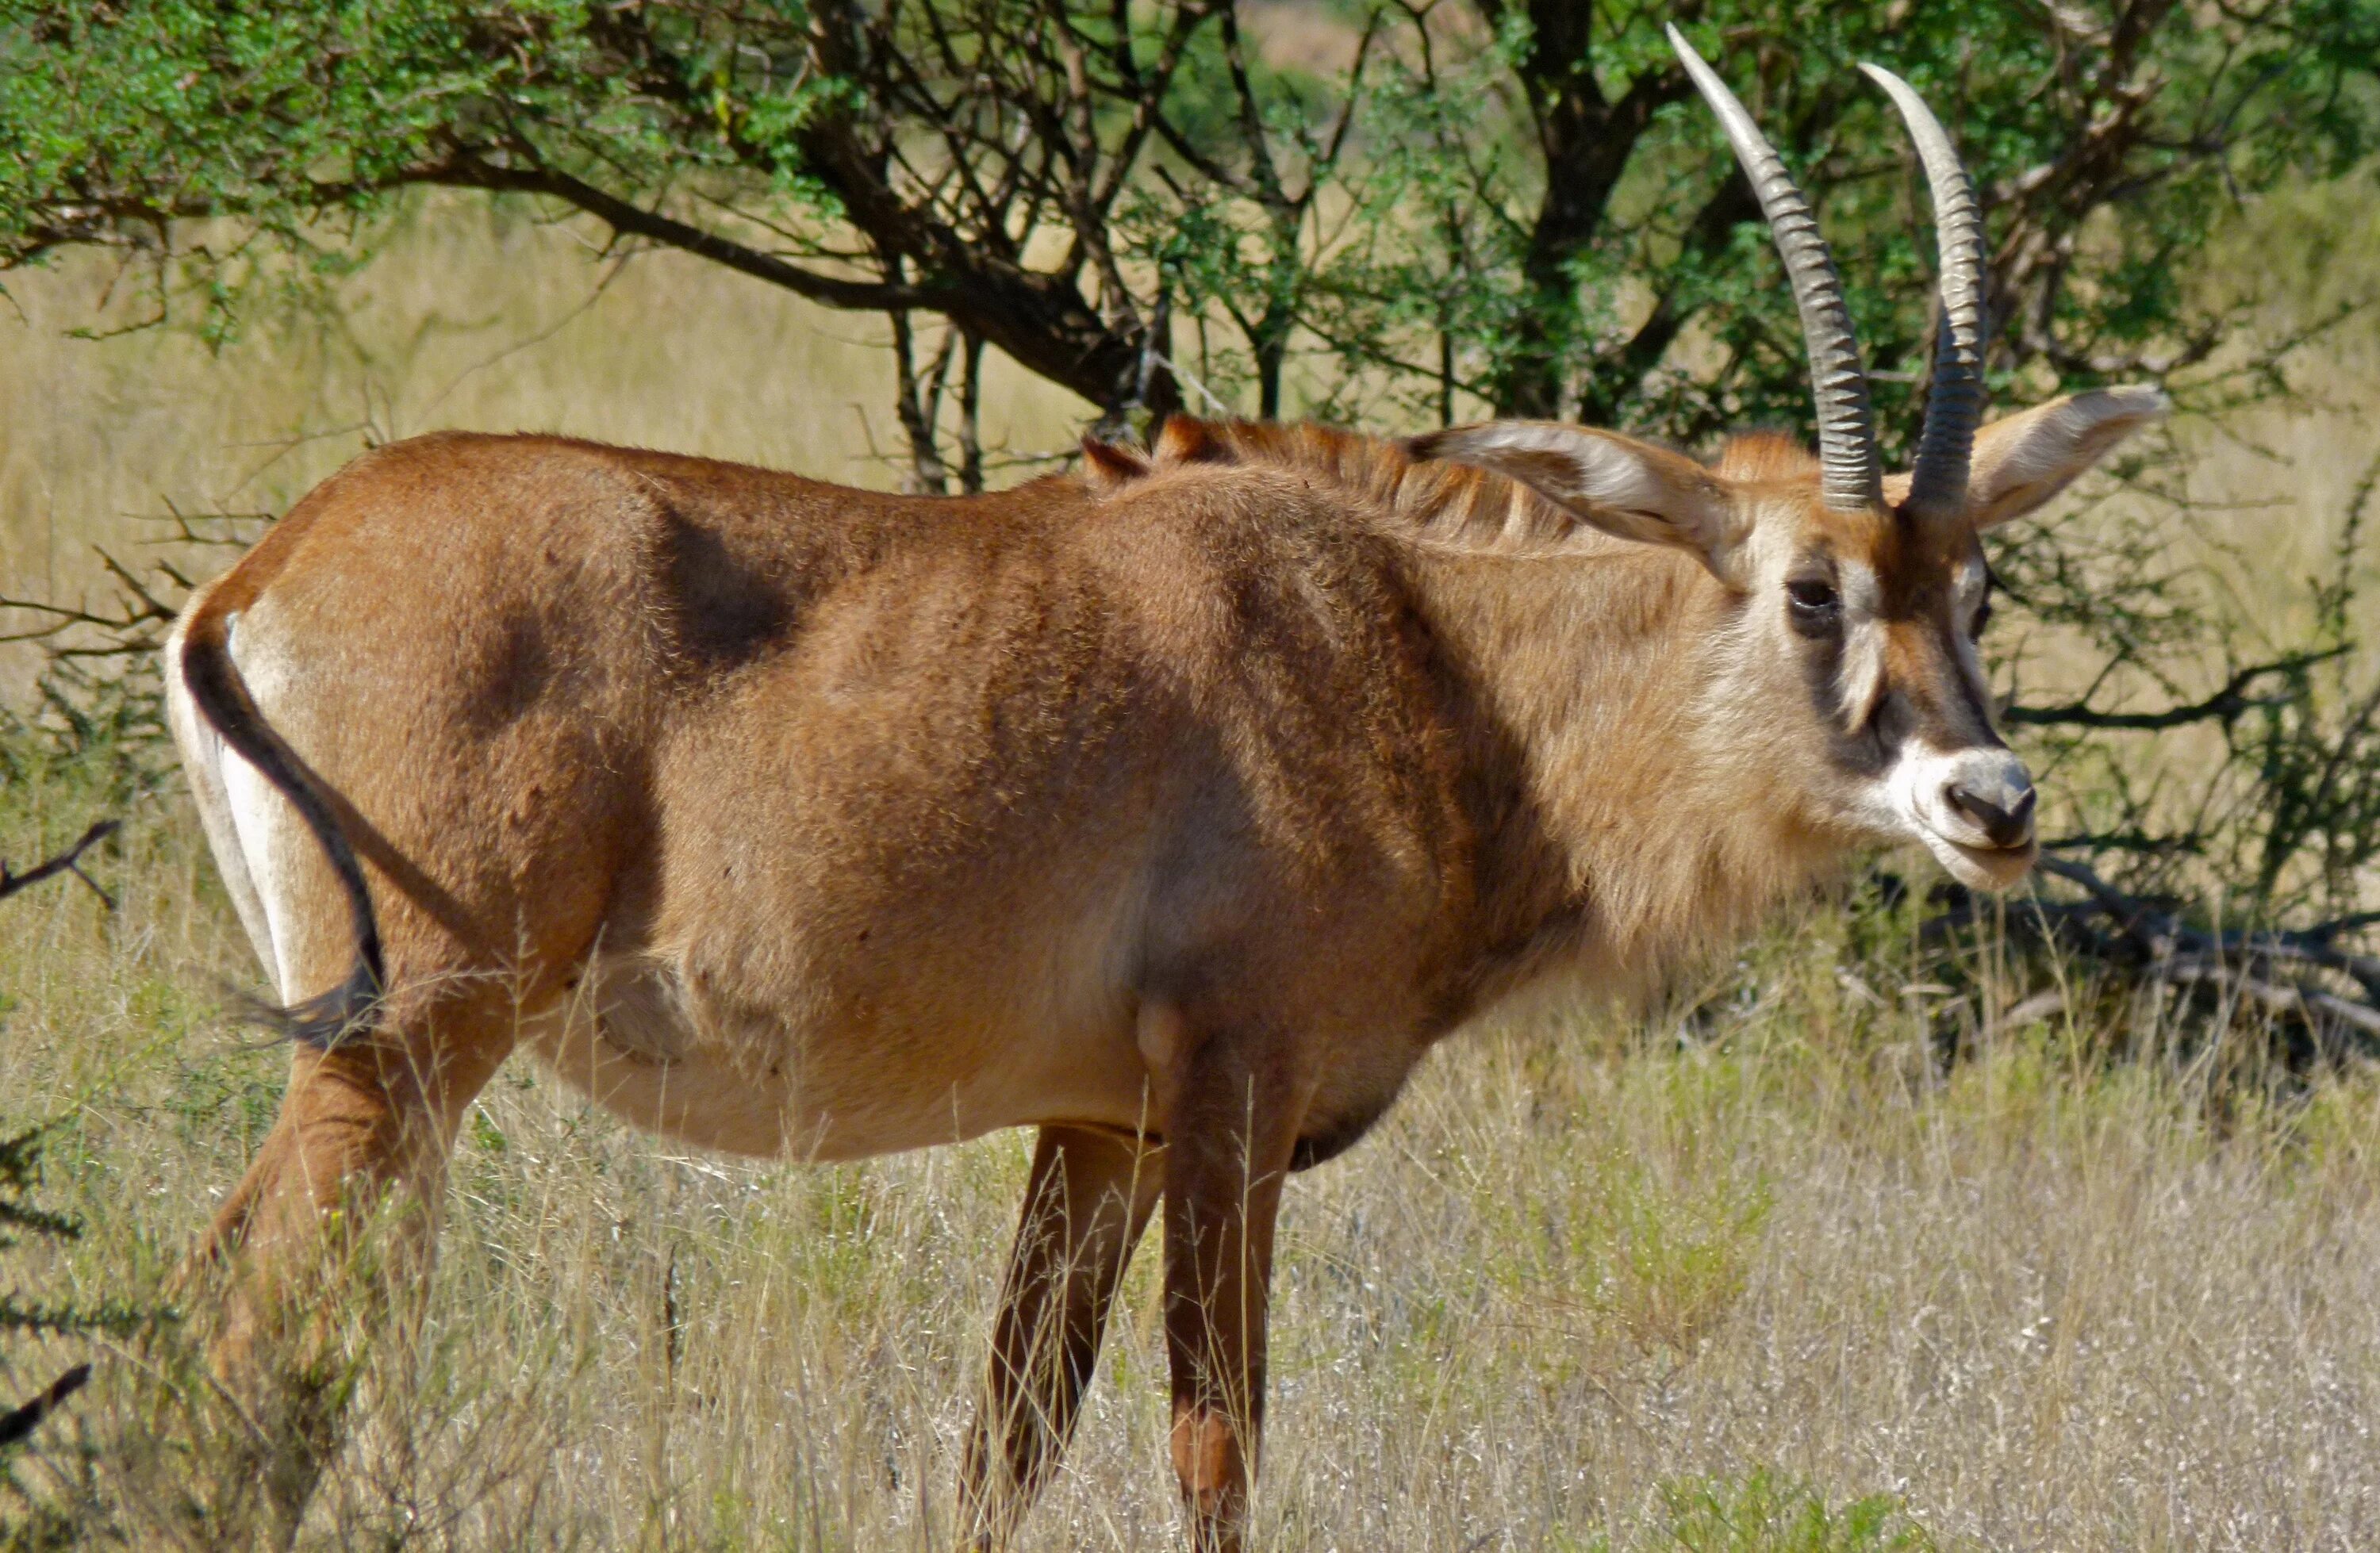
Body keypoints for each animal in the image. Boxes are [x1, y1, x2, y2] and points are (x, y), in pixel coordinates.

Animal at [167, 27, 2161, 1551]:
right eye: (1812, 586)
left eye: (1975, 582)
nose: (1991, 801)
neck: (1428, 651)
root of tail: (259, 573)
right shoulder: (1225, 1099)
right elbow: (1217, 1452)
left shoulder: (1093, 1131)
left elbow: (1005, 1447)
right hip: (404, 1036)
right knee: (245, 1313)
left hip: (418, 1072)